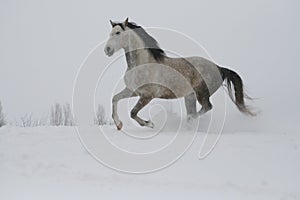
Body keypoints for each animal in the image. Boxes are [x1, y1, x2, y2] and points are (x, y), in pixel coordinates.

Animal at [104, 18, 254, 130]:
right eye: (110, 33)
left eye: (118, 33)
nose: (107, 50)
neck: (143, 64)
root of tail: (218, 67)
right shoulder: (133, 91)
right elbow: (115, 98)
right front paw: (119, 124)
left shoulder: (147, 96)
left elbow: (133, 112)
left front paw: (150, 124)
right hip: (190, 97)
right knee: (196, 110)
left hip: (201, 93)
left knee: (206, 107)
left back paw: (189, 122)